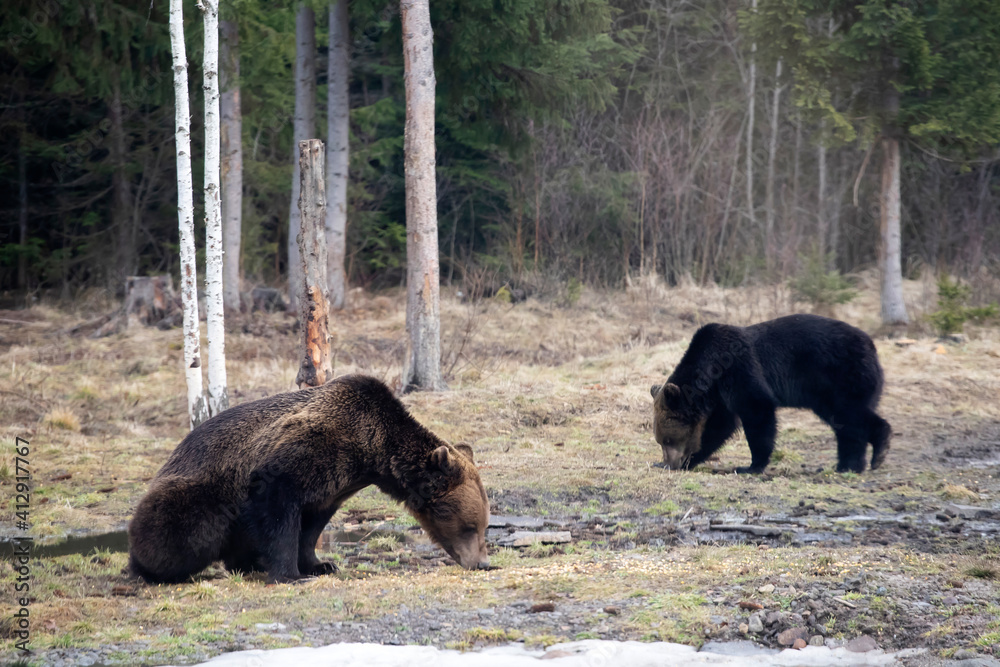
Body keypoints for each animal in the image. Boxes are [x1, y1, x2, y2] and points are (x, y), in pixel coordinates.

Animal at [128, 374, 490, 584]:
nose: (481, 562)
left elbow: (313, 525)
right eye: (470, 526)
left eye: (484, 526)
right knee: (187, 531)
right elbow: (278, 511)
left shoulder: (336, 483)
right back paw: (151, 569)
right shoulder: (304, 454)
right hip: (198, 493)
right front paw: (289, 574)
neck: (370, 450)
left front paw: (319, 564)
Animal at [649, 314, 891, 474]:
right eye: (660, 441)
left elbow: (757, 411)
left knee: (850, 414)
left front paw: (752, 465)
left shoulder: (738, 370)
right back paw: (847, 465)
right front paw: (688, 460)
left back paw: (876, 452)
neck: (710, 372)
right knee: (844, 423)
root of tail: (872, 345)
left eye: (668, 439)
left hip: (842, 376)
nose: (670, 462)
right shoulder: (719, 396)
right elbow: (717, 428)